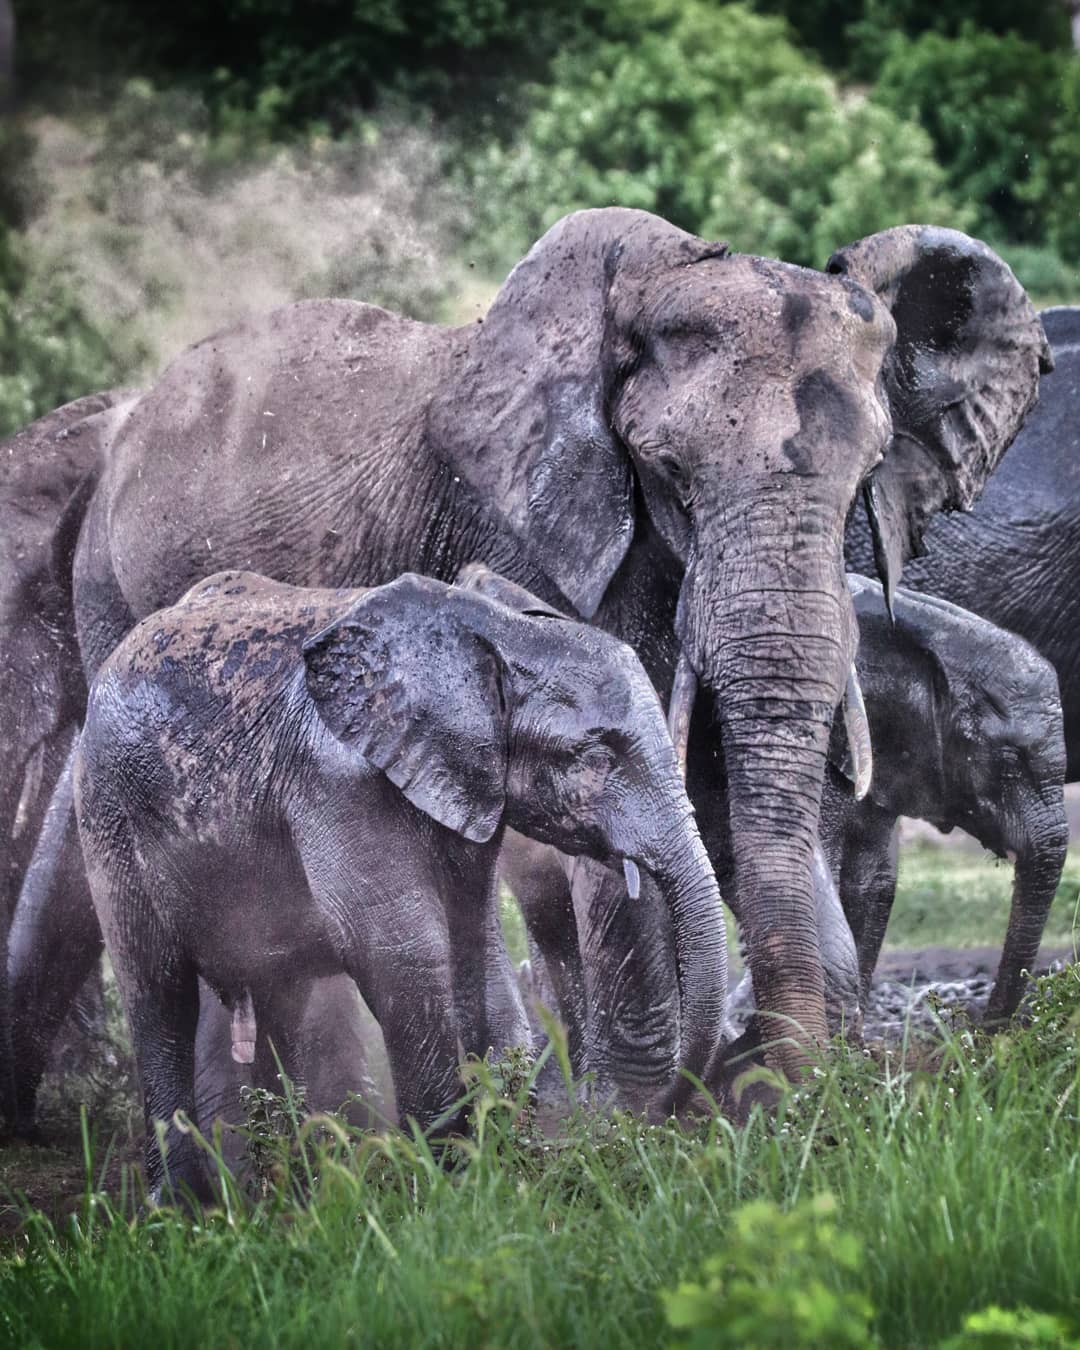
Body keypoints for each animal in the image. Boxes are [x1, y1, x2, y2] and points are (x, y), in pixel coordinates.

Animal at [75, 564, 723, 1198]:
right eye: (596, 760)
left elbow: (475, 949)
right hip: (107, 819)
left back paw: (294, 1194)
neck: (490, 634)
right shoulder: (341, 787)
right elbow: (402, 955)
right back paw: (183, 1208)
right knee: (159, 995)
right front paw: (441, 1187)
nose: (653, 1117)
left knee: (281, 1002)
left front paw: (500, 1165)